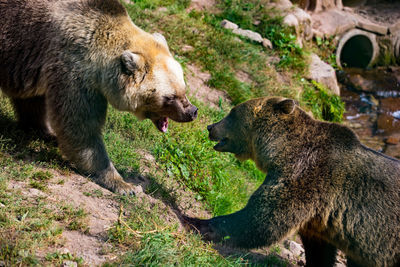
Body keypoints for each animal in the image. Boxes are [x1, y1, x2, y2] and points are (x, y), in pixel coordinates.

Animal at [0, 0, 197, 194]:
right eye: (170, 97)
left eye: (184, 88)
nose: (192, 111)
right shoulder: (74, 68)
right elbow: (80, 126)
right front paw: (123, 184)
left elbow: (32, 102)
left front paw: (46, 132)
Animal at [186, 97, 400, 267]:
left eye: (232, 112)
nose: (210, 127)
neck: (281, 151)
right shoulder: (320, 217)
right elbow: (318, 248)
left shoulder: (307, 175)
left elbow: (263, 218)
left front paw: (198, 223)